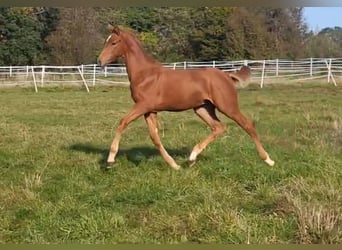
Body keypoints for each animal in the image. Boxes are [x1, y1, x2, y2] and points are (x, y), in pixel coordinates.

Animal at [97, 25, 274, 170]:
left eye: (114, 43)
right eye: (106, 41)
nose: (99, 61)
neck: (145, 74)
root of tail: (226, 75)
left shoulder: (143, 105)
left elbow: (122, 122)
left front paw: (110, 160)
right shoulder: (150, 110)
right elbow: (155, 137)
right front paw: (174, 165)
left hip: (227, 106)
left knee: (247, 125)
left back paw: (268, 160)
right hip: (202, 108)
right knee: (218, 127)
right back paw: (191, 158)